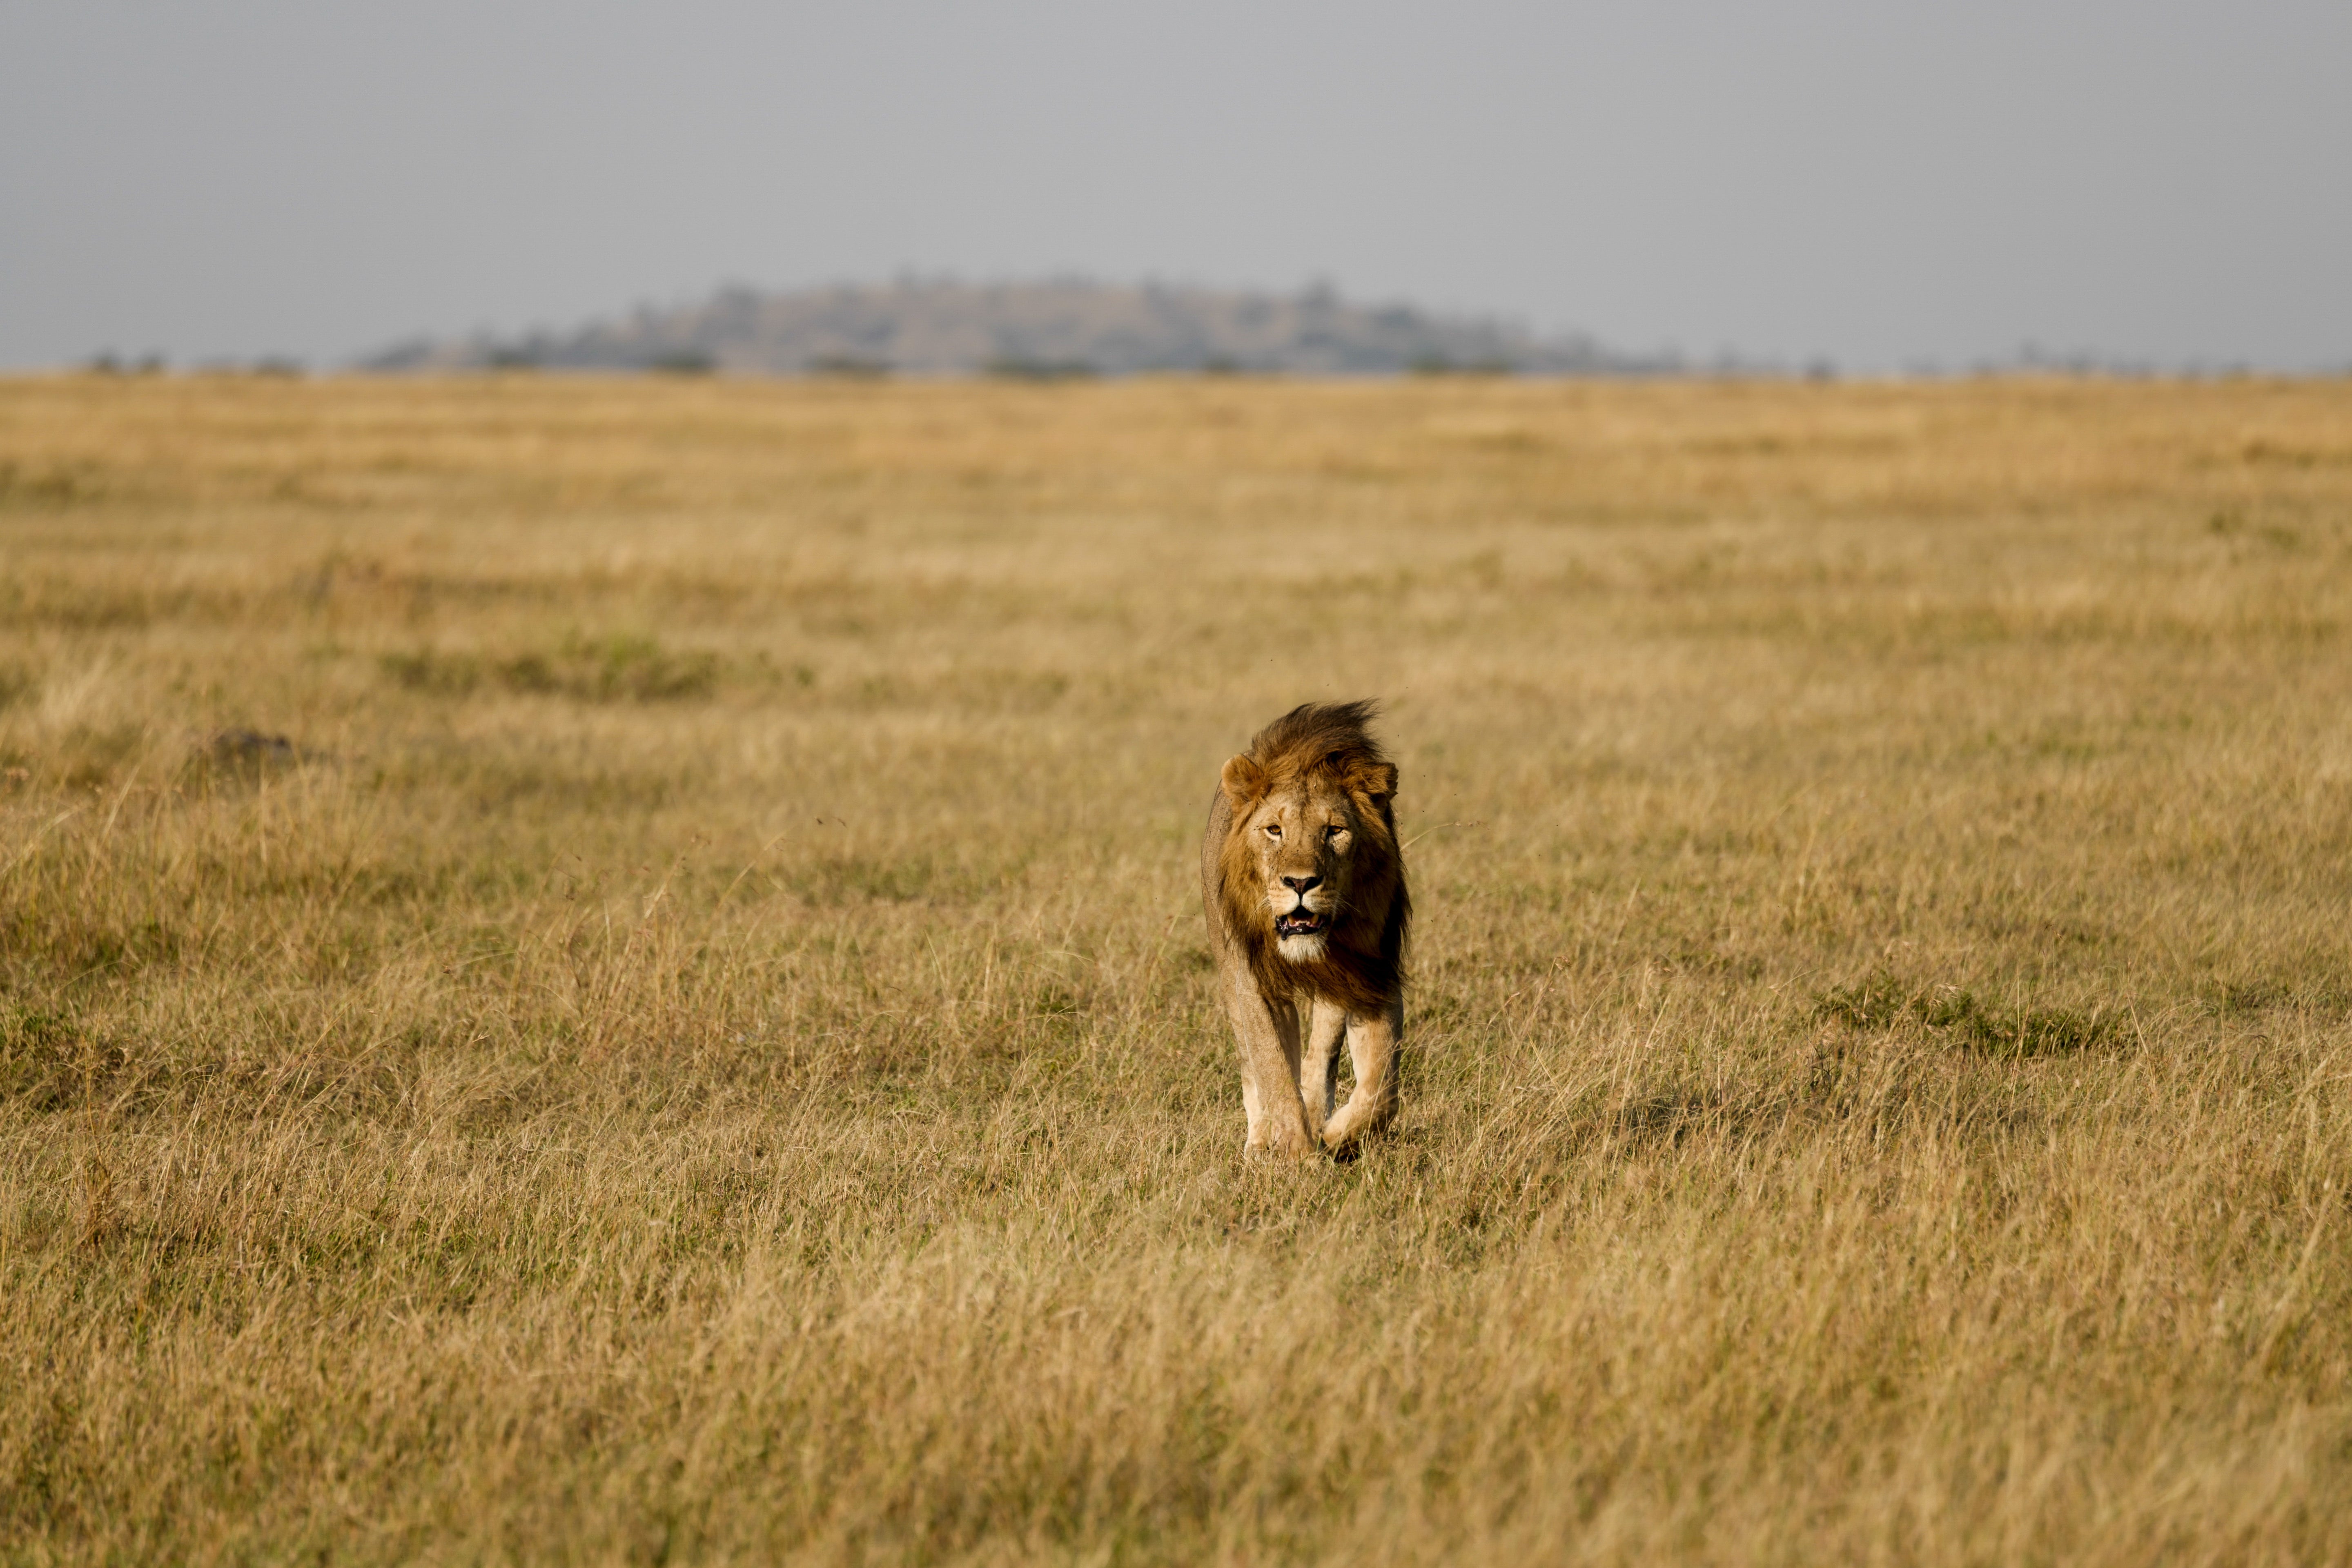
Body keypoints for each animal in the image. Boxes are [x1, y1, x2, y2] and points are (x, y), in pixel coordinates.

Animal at [1201, 700, 1410, 1157]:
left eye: (1335, 831)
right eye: (1274, 830)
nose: (1300, 883)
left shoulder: (1373, 973)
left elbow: (1381, 1088)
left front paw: (1336, 1138)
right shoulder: (1253, 983)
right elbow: (1275, 1073)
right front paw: (1297, 1156)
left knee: (1319, 1058)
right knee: (1256, 1066)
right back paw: (1261, 1140)